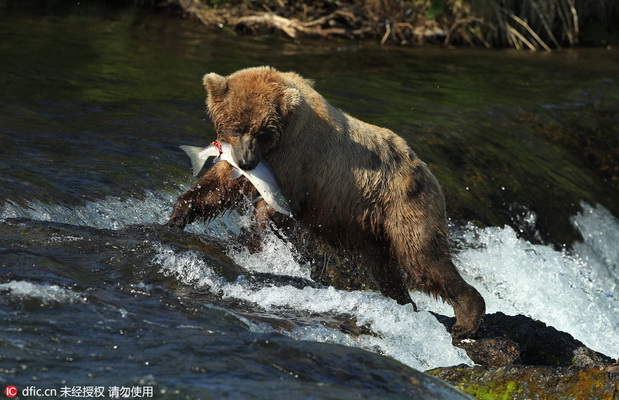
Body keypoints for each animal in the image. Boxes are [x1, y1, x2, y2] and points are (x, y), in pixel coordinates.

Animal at [167, 65, 486, 338]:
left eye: (261, 131)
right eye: (236, 125)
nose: (247, 161)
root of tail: (428, 172)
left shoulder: (296, 162)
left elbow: (271, 209)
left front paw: (249, 242)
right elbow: (218, 187)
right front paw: (178, 216)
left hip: (404, 205)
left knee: (422, 258)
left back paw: (466, 319)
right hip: (371, 229)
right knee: (387, 269)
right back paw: (405, 304)